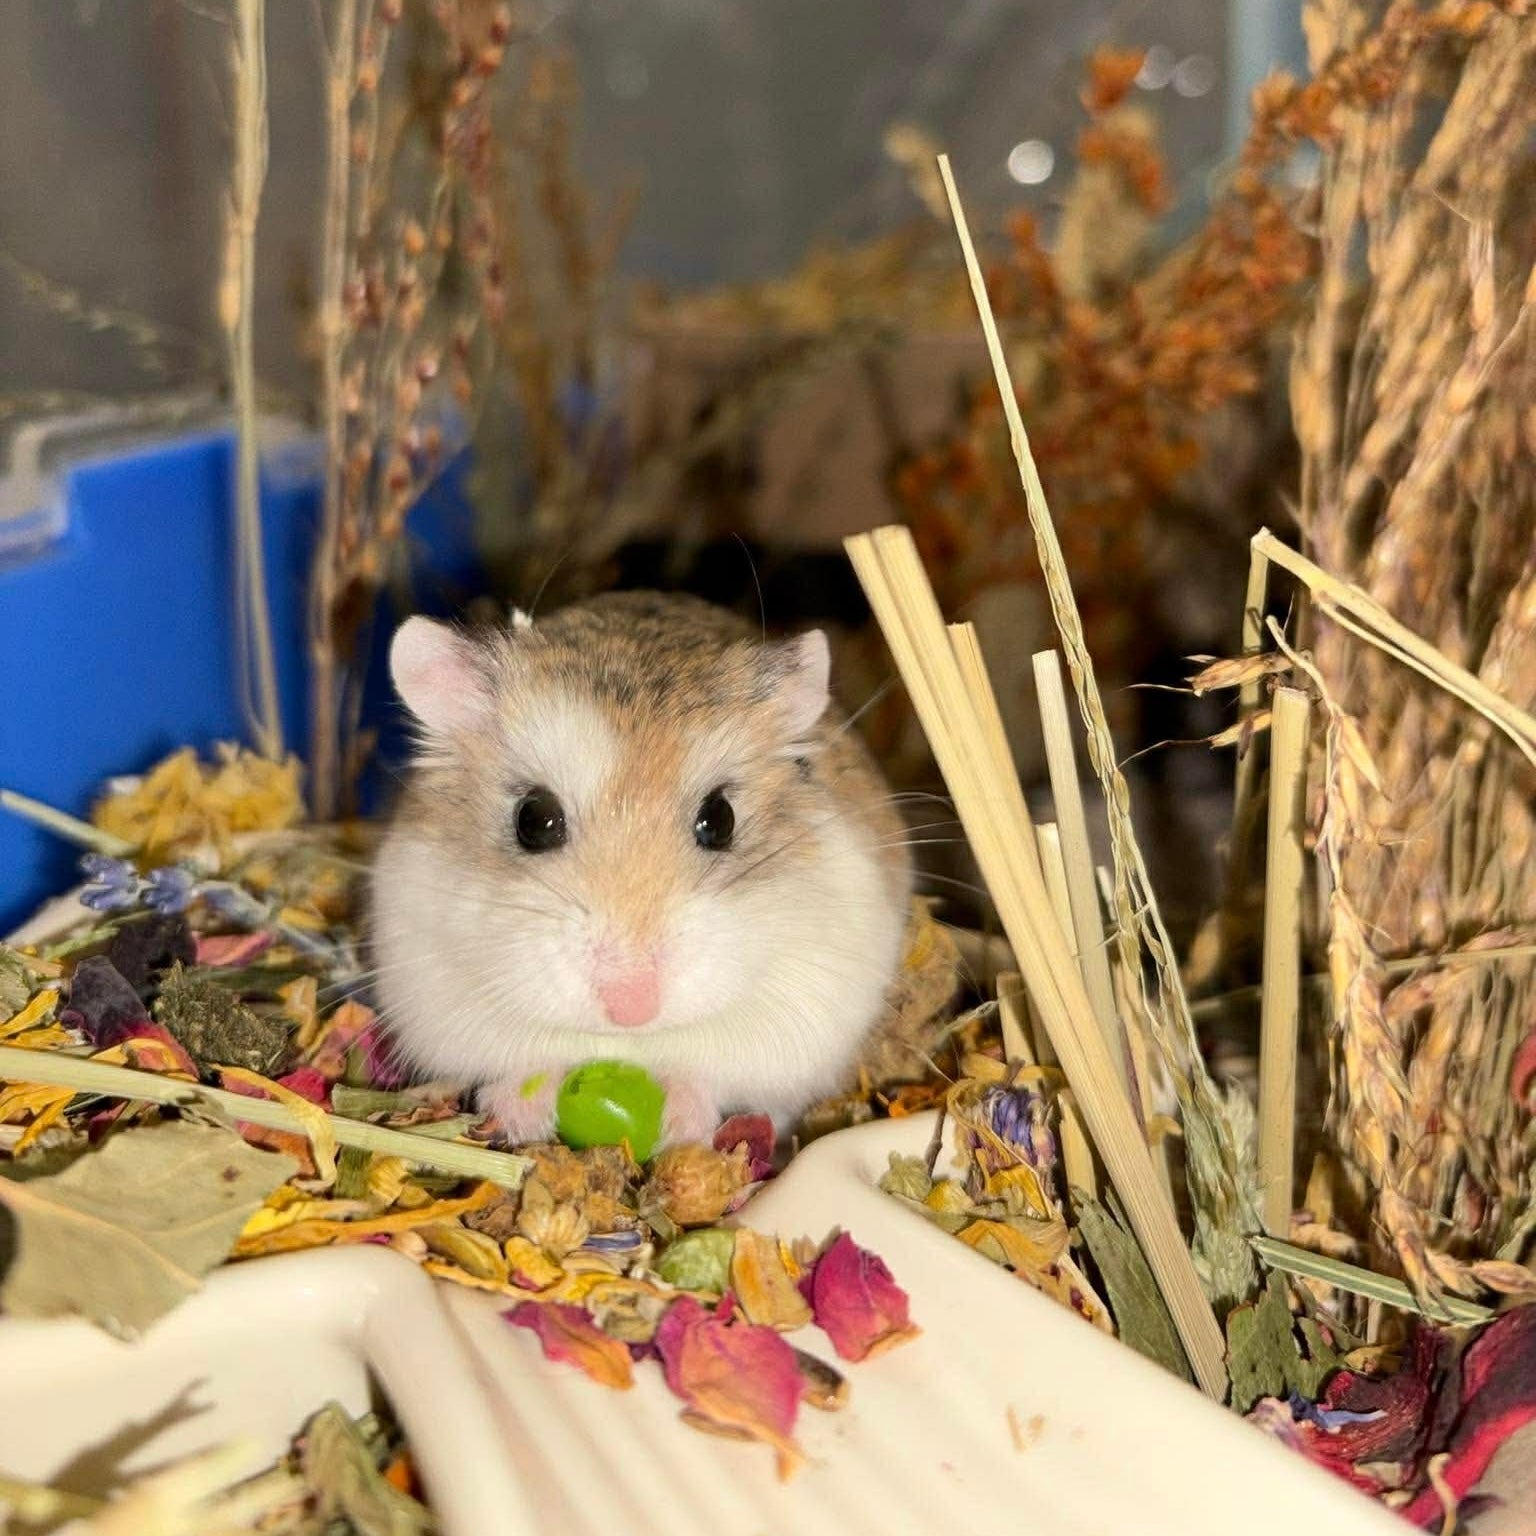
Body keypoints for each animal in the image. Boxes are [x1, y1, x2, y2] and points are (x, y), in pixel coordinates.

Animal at [370, 591, 912, 1147]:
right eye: (533, 820)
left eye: (720, 820)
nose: (631, 1008)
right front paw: (523, 1112)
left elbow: (714, 1074)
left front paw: (680, 1121)